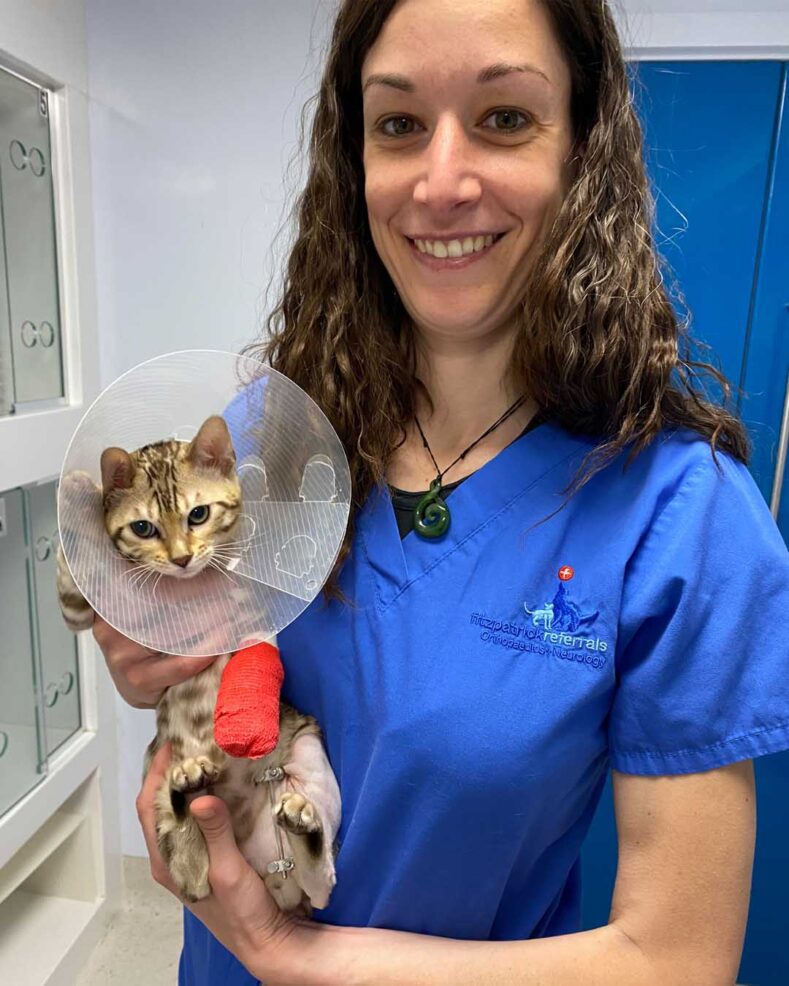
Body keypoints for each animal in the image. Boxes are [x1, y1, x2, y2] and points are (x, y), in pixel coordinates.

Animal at [55, 416, 338, 908]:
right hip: (158, 776)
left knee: (322, 882)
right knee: (192, 872)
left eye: (198, 515)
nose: (183, 558)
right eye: (143, 527)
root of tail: (274, 879)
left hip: (309, 751)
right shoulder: (86, 615)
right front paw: (77, 496)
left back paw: (302, 824)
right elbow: (77, 582)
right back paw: (188, 786)